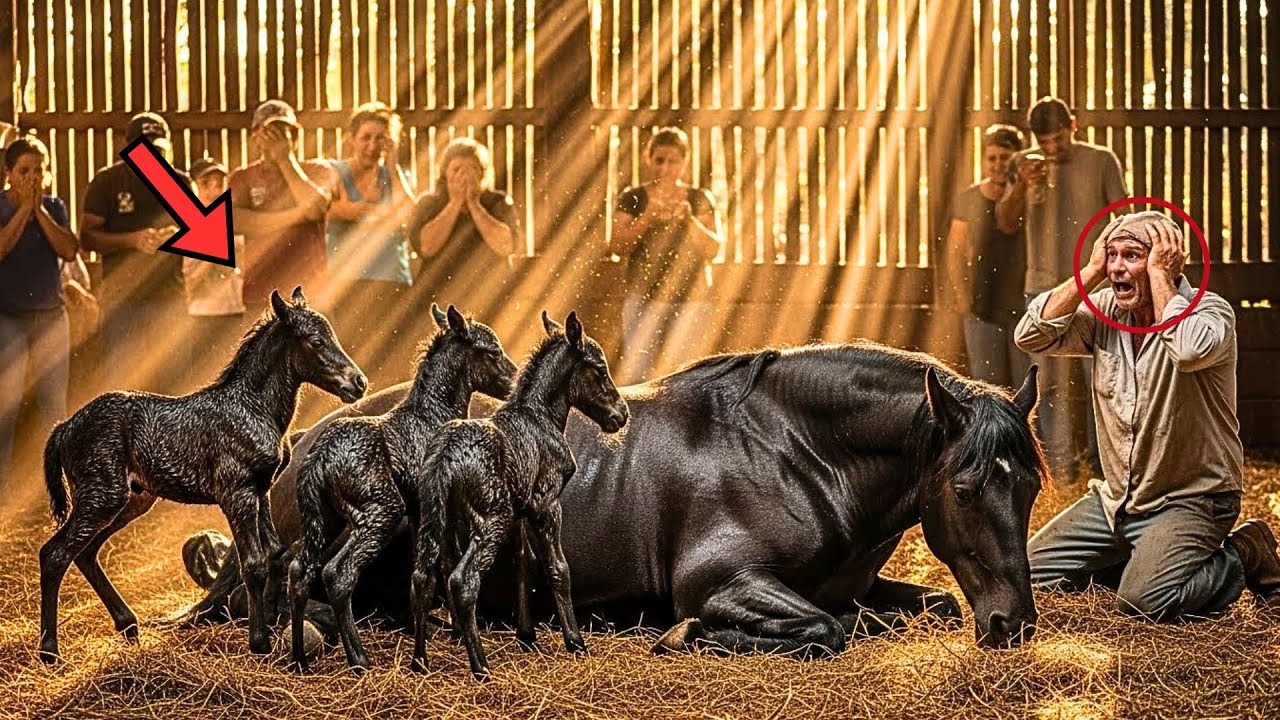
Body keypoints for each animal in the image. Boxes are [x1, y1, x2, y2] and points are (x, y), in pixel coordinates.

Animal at [39, 286, 367, 662]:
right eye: (314, 340)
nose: (358, 383)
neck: (252, 408)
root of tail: (65, 427)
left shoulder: (260, 491)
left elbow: (276, 554)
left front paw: (271, 627)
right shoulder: (236, 494)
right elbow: (253, 562)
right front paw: (259, 642)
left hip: (130, 501)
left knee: (85, 552)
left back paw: (129, 627)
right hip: (101, 497)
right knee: (55, 554)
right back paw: (49, 651)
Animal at [180, 341, 1045, 656]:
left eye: (1032, 485)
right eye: (966, 487)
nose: (1014, 625)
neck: (795, 453)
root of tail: (306, 442)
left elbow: (921, 604)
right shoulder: (726, 583)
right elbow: (825, 630)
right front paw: (687, 637)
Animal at [287, 304, 518, 672]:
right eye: (493, 350)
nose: (514, 380)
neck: (431, 415)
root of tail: (320, 459)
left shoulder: (416, 511)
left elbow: (425, 569)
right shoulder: (439, 511)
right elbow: (445, 563)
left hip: (323, 519)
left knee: (299, 571)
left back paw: (299, 660)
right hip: (379, 512)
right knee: (338, 573)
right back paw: (359, 659)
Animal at [410, 310, 629, 680]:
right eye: (600, 369)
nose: (621, 414)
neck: (539, 417)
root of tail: (446, 456)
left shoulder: (520, 511)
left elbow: (523, 564)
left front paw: (527, 635)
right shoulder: (546, 504)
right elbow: (558, 569)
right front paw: (576, 642)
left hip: (436, 518)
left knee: (423, 577)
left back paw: (418, 662)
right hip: (490, 519)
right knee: (463, 580)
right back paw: (480, 666)